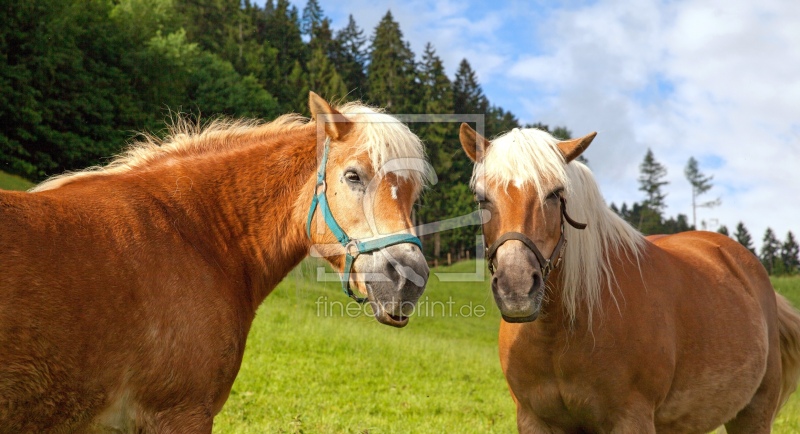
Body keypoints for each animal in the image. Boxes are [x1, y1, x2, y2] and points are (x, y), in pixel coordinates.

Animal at [460, 123, 800, 434]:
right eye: (482, 198)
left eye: (556, 194)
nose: (516, 289)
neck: (560, 333)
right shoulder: (534, 420)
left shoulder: (631, 419)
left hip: (753, 414)